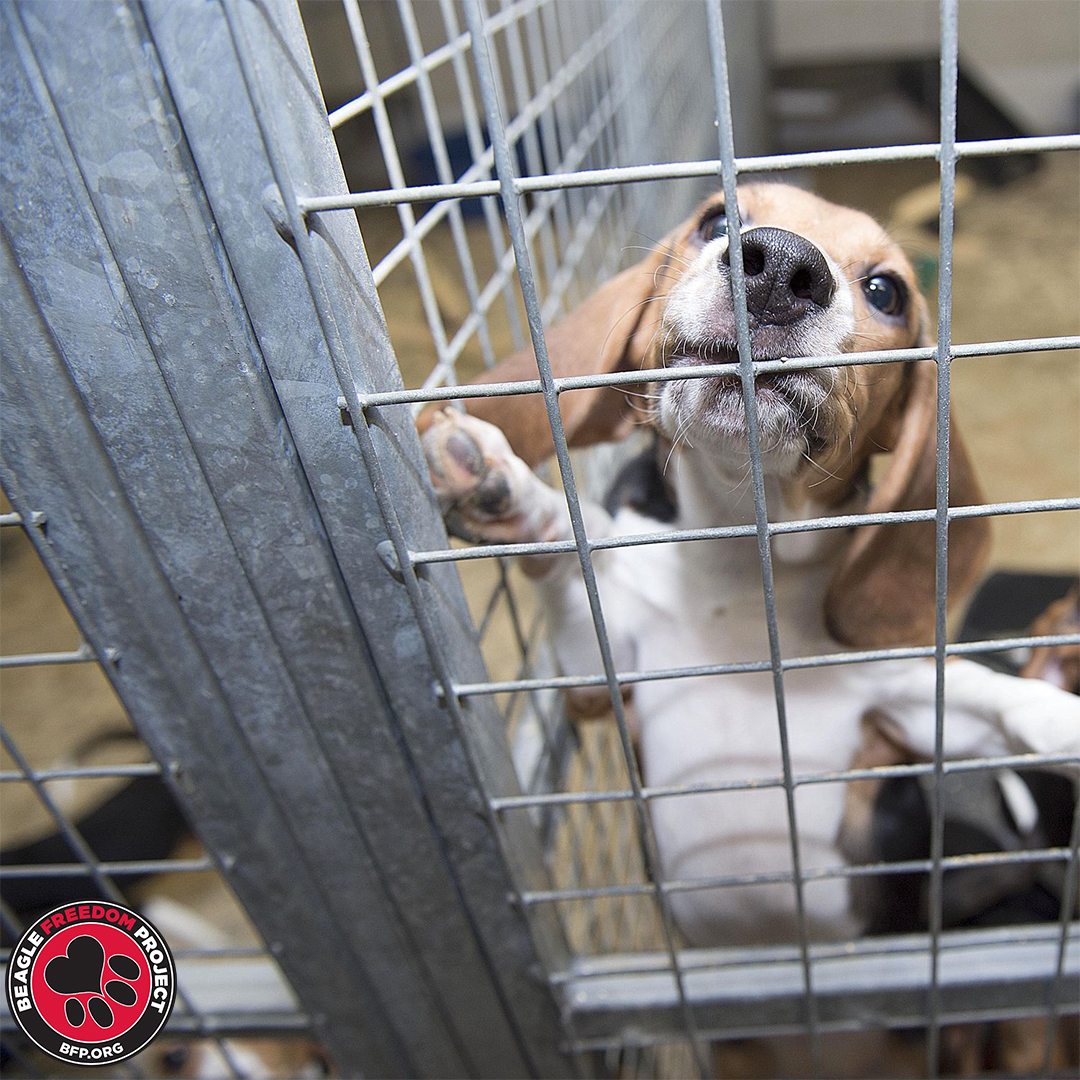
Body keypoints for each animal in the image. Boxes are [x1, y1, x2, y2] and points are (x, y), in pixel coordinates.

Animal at [423, 183, 1080, 946]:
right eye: (716, 219)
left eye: (886, 291)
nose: (781, 269)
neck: (742, 562)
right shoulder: (597, 682)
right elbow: (563, 553)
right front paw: (503, 492)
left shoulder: (899, 706)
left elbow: (1007, 701)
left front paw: (1068, 718)